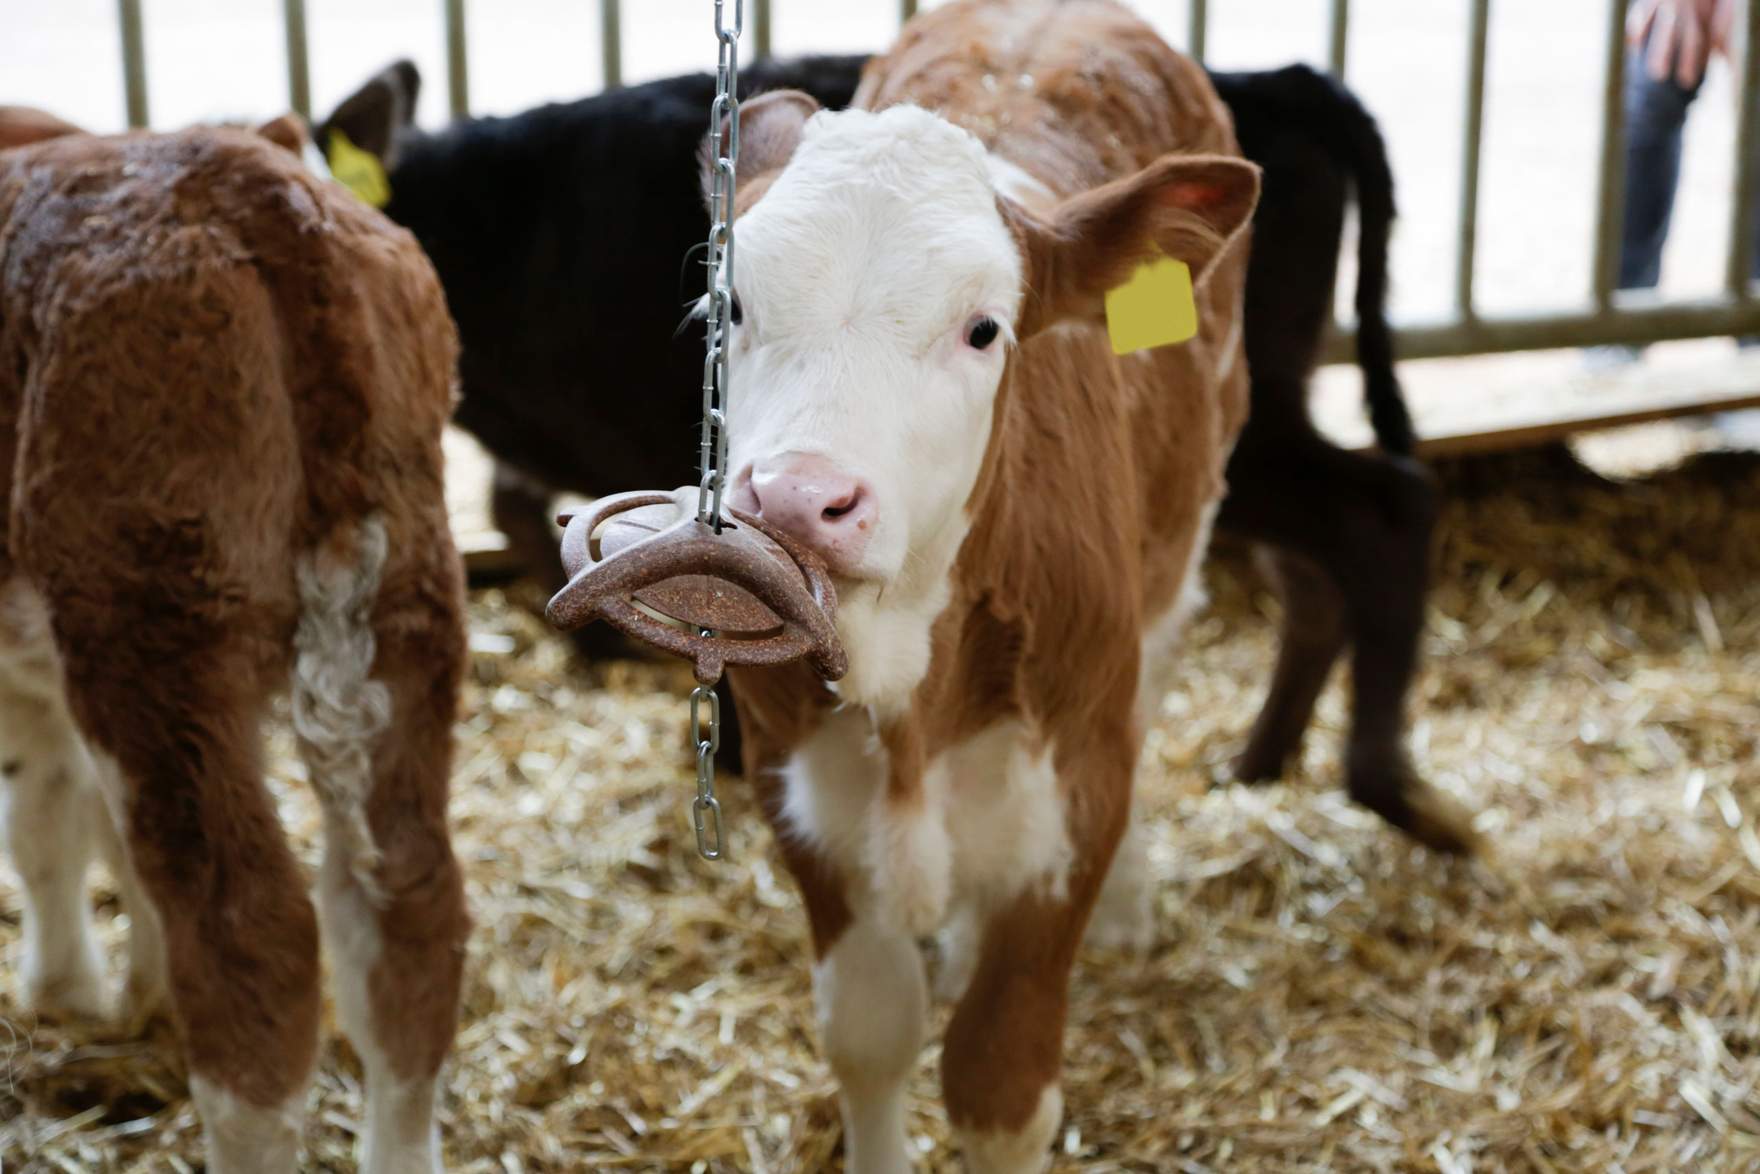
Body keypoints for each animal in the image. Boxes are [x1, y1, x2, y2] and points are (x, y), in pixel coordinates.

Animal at [0, 118, 468, 1172]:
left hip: (152, 618)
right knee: (407, 902)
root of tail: (253, 187)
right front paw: (128, 994)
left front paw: (62, 989)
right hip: (409, 586)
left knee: (245, 932)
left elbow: (40, 817)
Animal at [319, 51, 1471, 856]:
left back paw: (1383, 781)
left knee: (1387, 507)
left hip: (1257, 417)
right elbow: (536, 519)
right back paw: (1263, 758)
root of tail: (1286, 77)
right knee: (1316, 556)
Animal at [688, 0, 1260, 1165]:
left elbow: (999, 1083)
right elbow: (870, 1033)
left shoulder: (1071, 799)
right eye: (732, 304)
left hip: (1178, 549)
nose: (794, 500)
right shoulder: (799, 792)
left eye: (984, 328)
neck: (909, 675)